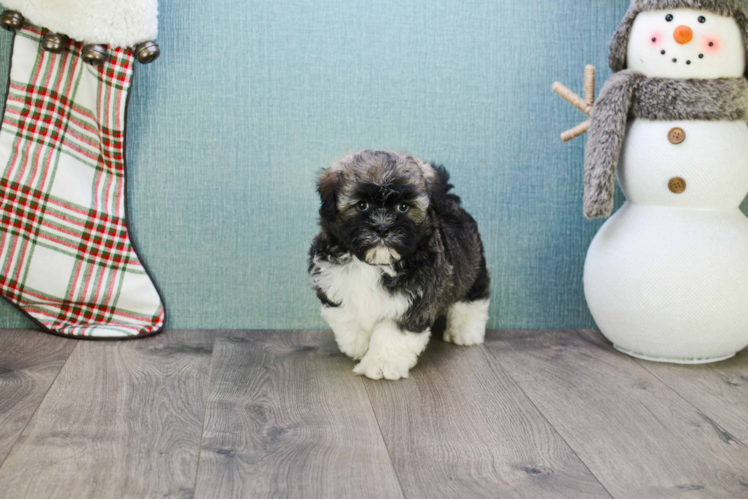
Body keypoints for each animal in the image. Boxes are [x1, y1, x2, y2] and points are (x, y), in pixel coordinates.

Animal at [306, 149, 488, 378]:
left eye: (403, 207)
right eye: (362, 205)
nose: (383, 228)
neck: (375, 264)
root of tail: (449, 201)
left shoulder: (416, 299)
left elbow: (392, 333)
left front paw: (382, 364)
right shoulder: (331, 282)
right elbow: (346, 317)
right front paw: (357, 347)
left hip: (473, 265)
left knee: (473, 297)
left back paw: (465, 332)